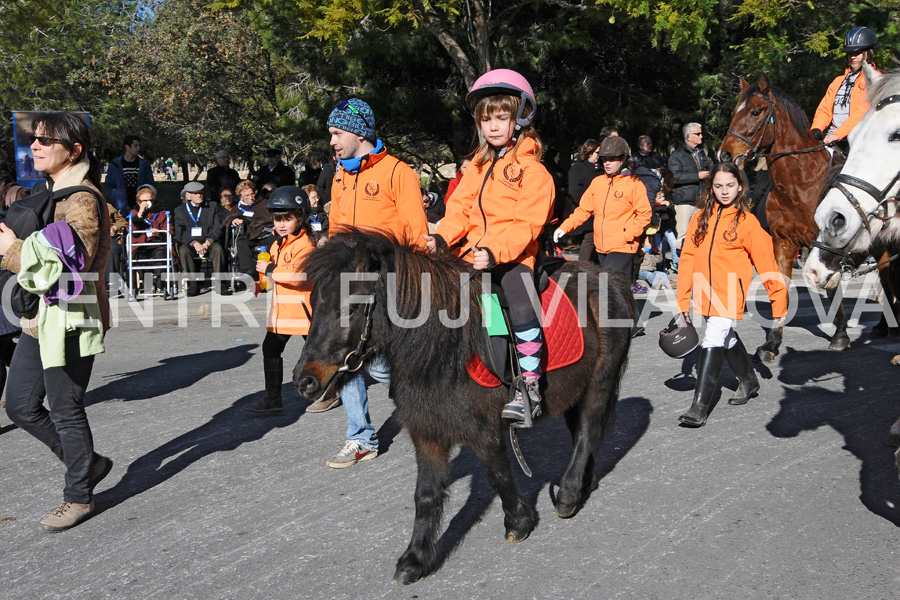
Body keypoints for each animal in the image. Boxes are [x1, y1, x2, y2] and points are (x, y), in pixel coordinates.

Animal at [294, 231, 632, 584]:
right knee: (581, 434)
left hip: (600, 383)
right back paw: (583, 484)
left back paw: (567, 494)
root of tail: (612, 277)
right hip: (576, 391)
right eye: (313, 303)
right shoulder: (426, 432)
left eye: (349, 309)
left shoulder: (484, 430)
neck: (441, 350)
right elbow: (425, 495)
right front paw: (415, 558)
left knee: (587, 433)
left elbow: (498, 476)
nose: (305, 381)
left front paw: (518, 522)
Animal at [712, 72, 848, 358]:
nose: (725, 154)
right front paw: (772, 342)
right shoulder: (783, 243)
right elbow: (781, 287)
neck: (802, 184)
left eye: (755, 111)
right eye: (734, 111)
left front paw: (841, 334)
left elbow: (832, 287)